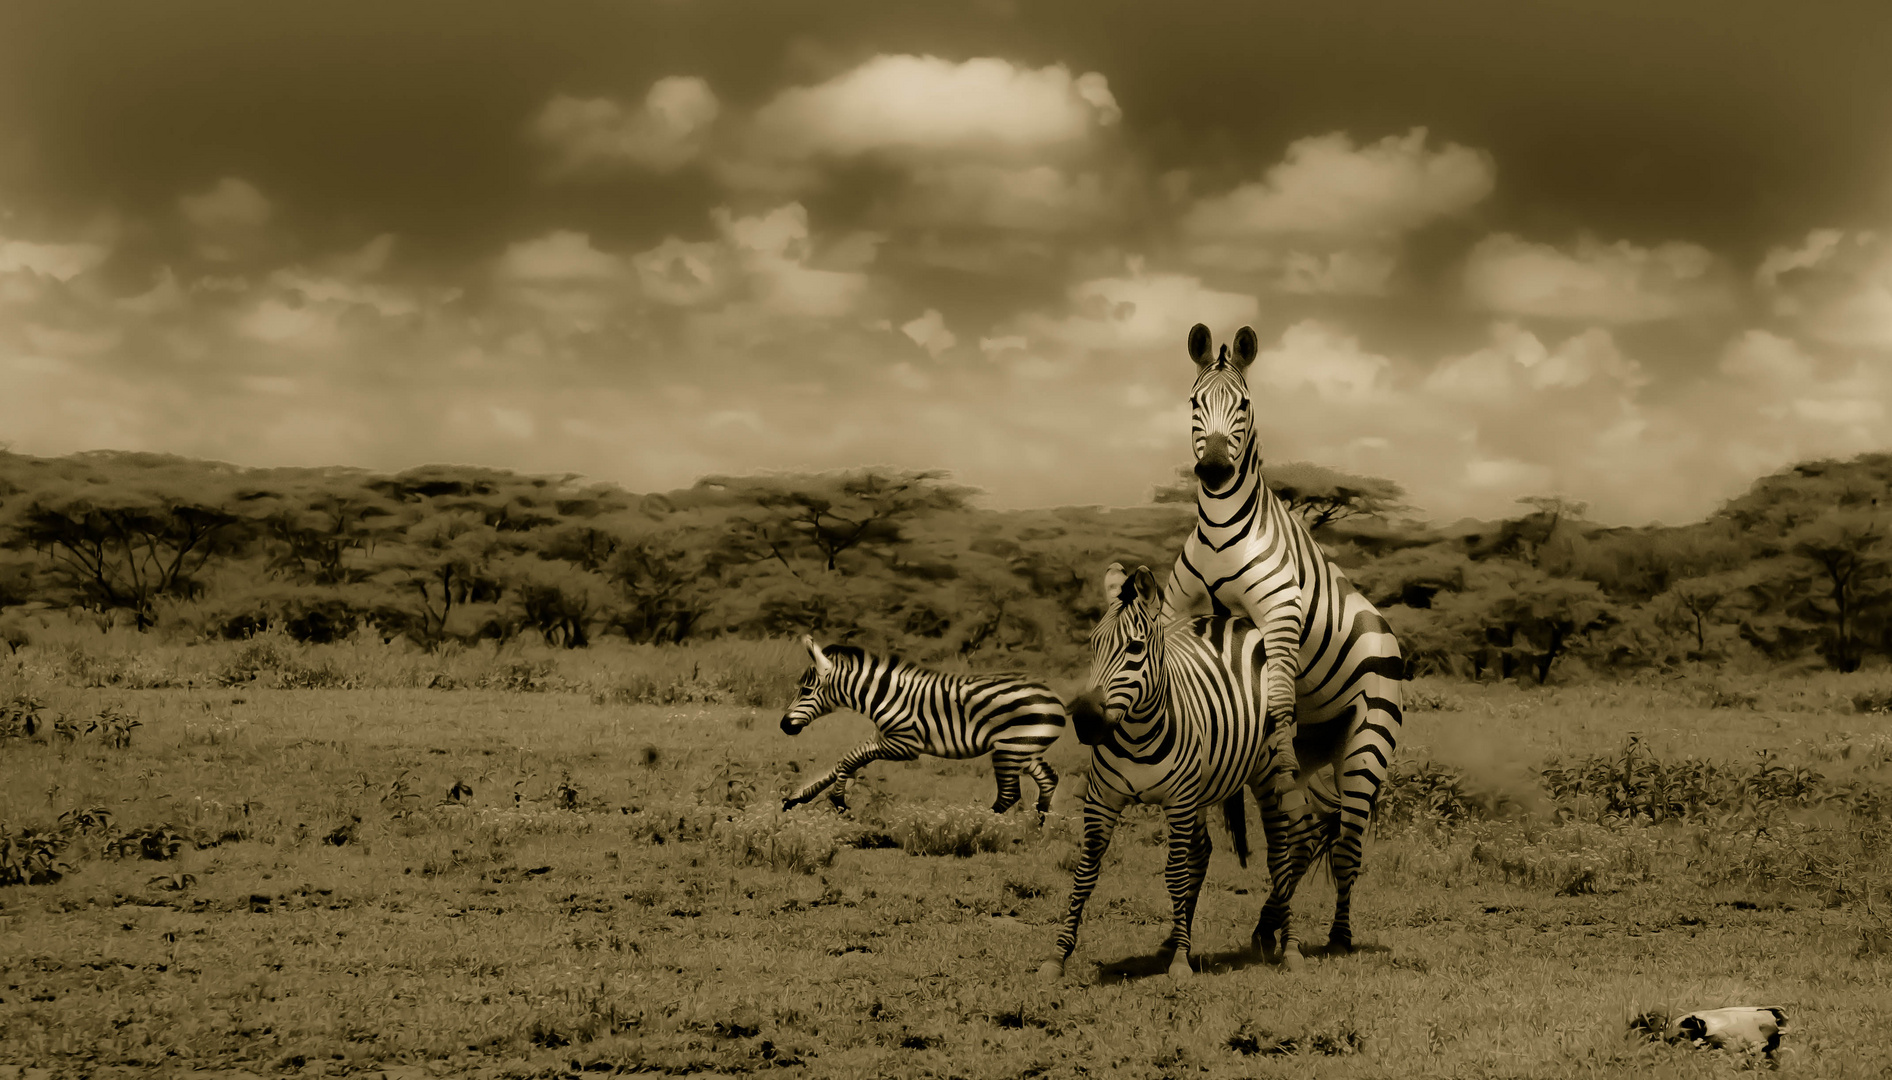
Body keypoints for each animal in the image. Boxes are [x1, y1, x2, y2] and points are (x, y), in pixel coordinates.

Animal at [771, 635, 1067, 820]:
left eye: (805, 690)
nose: (784, 725)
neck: (886, 697)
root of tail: (1056, 699)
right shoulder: (881, 737)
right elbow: (842, 763)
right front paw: (797, 798)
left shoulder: (904, 745)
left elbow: (849, 760)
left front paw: (839, 802)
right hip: (1024, 749)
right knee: (1048, 779)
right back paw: (1037, 827)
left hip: (1010, 750)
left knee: (1009, 794)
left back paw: (979, 826)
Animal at [1036, 571, 1316, 983]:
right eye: (1093, 644)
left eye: (1135, 648)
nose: (1086, 722)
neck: (1137, 733)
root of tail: (1229, 619)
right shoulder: (1102, 800)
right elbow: (1084, 873)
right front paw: (1058, 955)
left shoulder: (1178, 801)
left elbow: (1175, 876)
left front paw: (1181, 963)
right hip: (1201, 789)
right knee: (1202, 853)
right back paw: (1173, 940)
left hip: (1266, 774)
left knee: (1279, 858)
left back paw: (1291, 949)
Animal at [1157, 323, 1415, 953]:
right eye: (1193, 403)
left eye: (1245, 405)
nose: (1214, 473)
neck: (1221, 529)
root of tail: (1386, 633)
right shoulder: (1179, 619)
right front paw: (1176, 936)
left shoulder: (1278, 622)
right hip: (1315, 743)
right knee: (1305, 834)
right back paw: (1268, 925)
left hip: (1367, 742)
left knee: (1343, 842)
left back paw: (1338, 937)